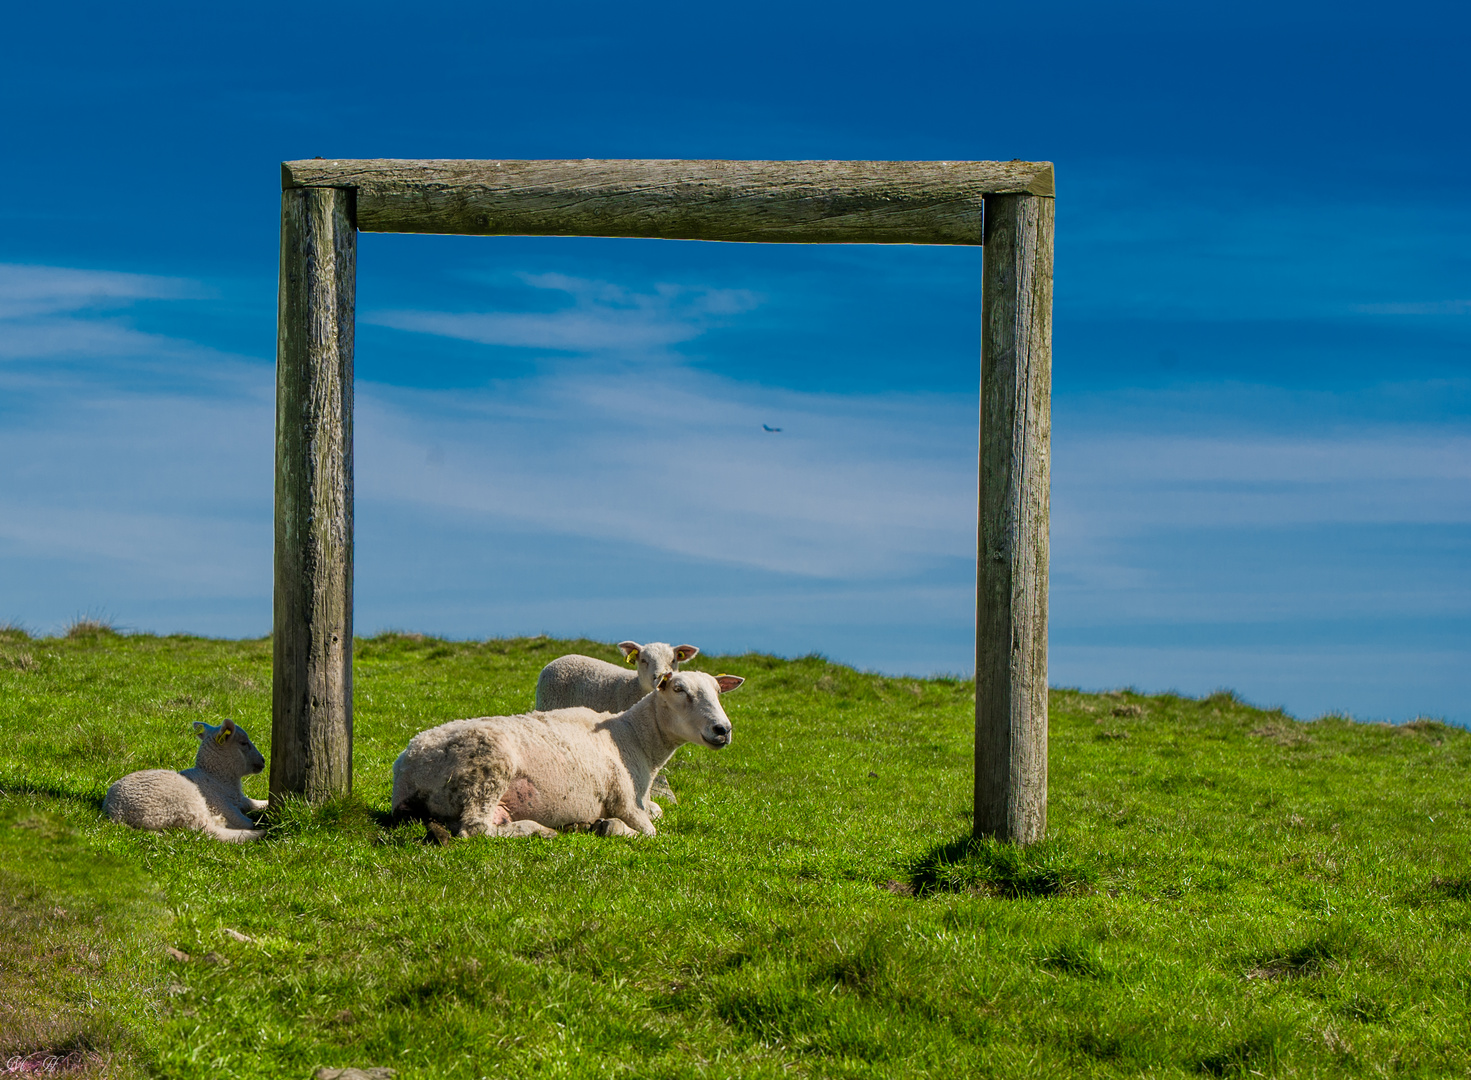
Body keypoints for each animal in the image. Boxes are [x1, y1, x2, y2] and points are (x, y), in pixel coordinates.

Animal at [102, 718, 269, 847]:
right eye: (244, 743)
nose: (263, 761)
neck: (217, 778)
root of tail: (117, 813)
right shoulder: (220, 804)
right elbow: (246, 821)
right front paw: (255, 823)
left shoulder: (240, 799)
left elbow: (256, 803)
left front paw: (266, 803)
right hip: (184, 800)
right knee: (209, 830)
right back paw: (258, 833)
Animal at [391, 673, 741, 841]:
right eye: (679, 690)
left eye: (718, 691)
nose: (722, 729)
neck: (633, 738)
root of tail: (408, 764)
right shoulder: (624, 800)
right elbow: (649, 832)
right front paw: (609, 827)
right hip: (486, 770)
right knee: (476, 828)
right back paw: (541, 830)